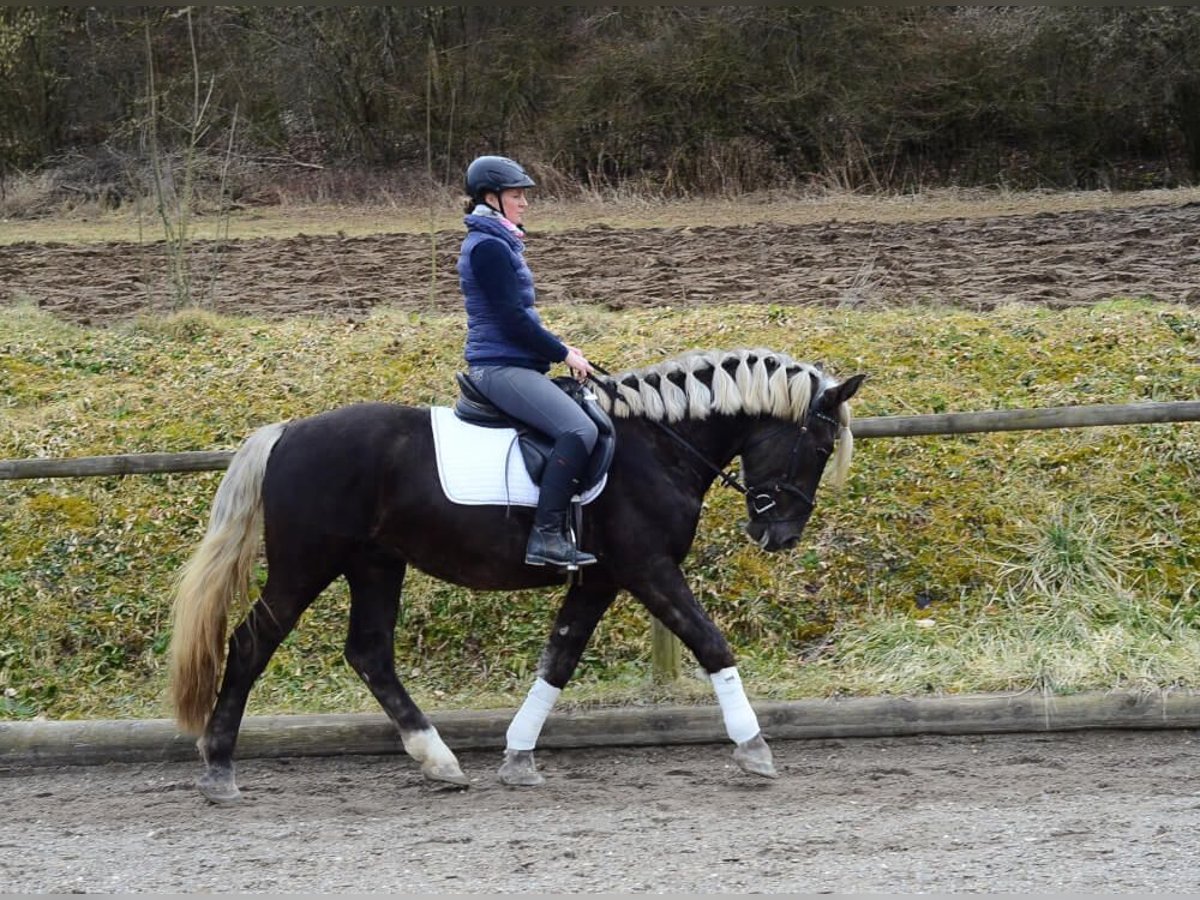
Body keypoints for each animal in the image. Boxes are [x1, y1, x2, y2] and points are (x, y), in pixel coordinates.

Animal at [169, 348, 864, 806]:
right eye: (817, 447)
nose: (780, 537)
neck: (659, 447)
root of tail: (285, 433)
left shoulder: (601, 579)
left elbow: (558, 658)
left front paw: (518, 756)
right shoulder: (648, 568)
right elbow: (710, 642)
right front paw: (755, 748)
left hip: (376, 563)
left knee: (369, 654)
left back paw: (439, 760)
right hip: (305, 564)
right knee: (252, 644)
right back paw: (219, 769)